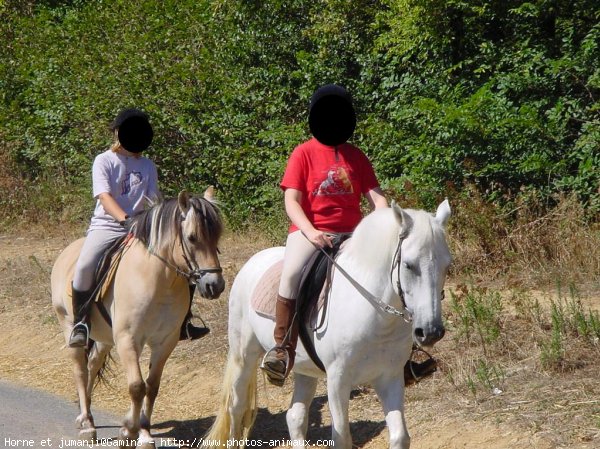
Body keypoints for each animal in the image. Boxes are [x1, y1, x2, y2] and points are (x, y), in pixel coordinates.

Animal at [51, 187, 225, 446]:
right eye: (192, 237)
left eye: (217, 237)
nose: (215, 286)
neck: (158, 279)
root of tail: (67, 252)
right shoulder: (128, 339)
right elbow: (136, 387)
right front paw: (128, 432)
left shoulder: (165, 342)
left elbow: (151, 387)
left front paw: (143, 432)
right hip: (69, 326)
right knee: (80, 370)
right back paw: (86, 424)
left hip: (104, 337)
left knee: (92, 365)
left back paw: (88, 414)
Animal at [205, 200, 450, 448]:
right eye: (409, 265)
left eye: (447, 266)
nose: (430, 332)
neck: (375, 313)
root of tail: (252, 262)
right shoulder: (338, 380)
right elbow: (341, 437)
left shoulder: (389, 376)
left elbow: (400, 436)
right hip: (244, 355)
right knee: (236, 408)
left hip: (303, 367)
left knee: (295, 416)